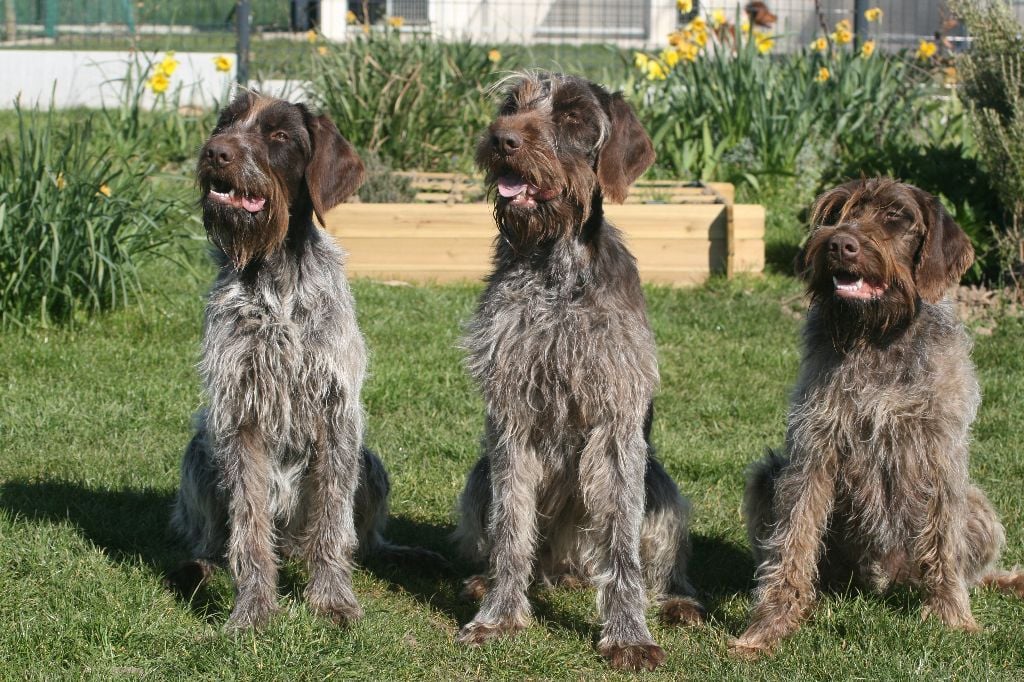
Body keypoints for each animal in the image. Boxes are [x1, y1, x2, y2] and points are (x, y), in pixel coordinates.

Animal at [454, 73, 704, 667]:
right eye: (511, 104)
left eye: (571, 115)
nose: (502, 139)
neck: (555, 272)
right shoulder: (512, 419)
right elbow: (511, 528)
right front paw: (498, 616)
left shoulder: (615, 425)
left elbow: (621, 547)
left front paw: (628, 633)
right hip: (479, 478)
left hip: (661, 489)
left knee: (656, 563)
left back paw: (677, 602)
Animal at [729, 178, 1024, 655]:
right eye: (836, 214)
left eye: (895, 217)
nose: (839, 244)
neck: (877, 335)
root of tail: (887, 579)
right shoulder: (815, 448)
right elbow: (792, 542)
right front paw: (770, 626)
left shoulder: (941, 451)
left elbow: (944, 539)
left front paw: (951, 616)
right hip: (766, 478)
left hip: (978, 507)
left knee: (968, 567)